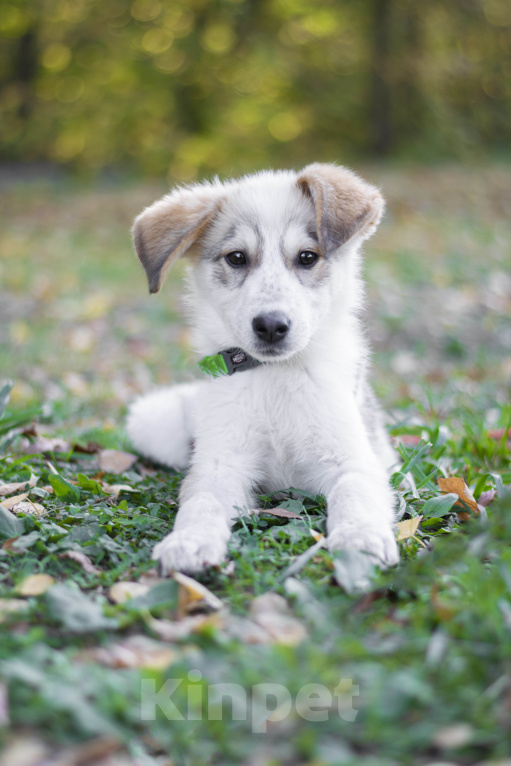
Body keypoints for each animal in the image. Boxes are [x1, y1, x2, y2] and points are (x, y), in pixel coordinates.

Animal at [127, 162, 400, 572]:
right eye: (237, 258)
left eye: (307, 257)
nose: (271, 325)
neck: (277, 377)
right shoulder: (220, 465)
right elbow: (201, 503)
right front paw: (190, 540)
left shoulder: (352, 460)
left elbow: (354, 495)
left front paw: (360, 537)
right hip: (152, 422)